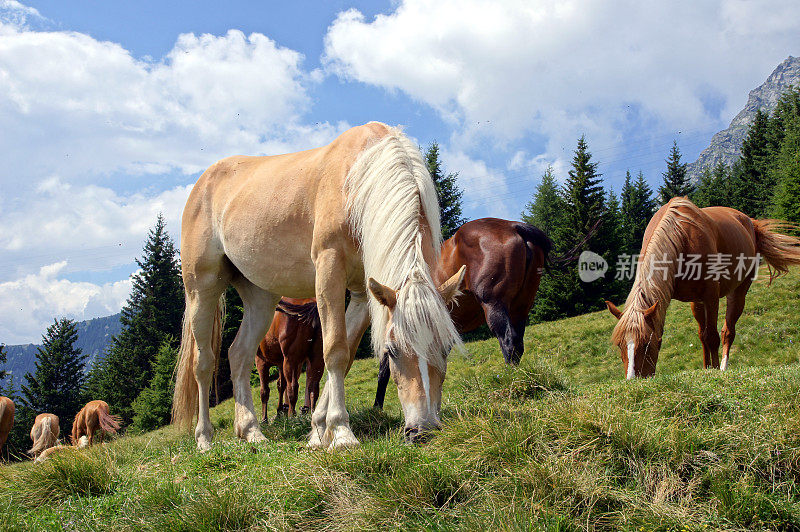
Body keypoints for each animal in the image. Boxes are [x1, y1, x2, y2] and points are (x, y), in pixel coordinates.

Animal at [172, 122, 466, 450]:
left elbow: (345, 355)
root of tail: (203, 181)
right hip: (202, 288)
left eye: (447, 348)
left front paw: (318, 431)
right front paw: (340, 432)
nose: (423, 430)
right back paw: (204, 439)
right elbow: (335, 350)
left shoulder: (363, 294)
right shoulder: (329, 271)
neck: (359, 179)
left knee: (239, 355)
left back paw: (251, 431)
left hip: (260, 297)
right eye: (391, 351)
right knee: (203, 363)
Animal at [374, 218, 552, 410]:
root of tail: (512, 226)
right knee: (518, 344)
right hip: (520, 309)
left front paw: (377, 408)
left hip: (495, 306)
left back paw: (512, 381)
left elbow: (384, 369)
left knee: (509, 341)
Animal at [608, 196, 800, 378]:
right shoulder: (698, 300)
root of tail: (751, 223)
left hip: (738, 292)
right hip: (697, 302)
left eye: (646, 344)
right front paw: (706, 368)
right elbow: (703, 336)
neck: (681, 238)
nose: (633, 379)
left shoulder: (711, 297)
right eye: (620, 345)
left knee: (727, 332)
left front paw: (714, 369)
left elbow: (712, 336)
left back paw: (722, 367)